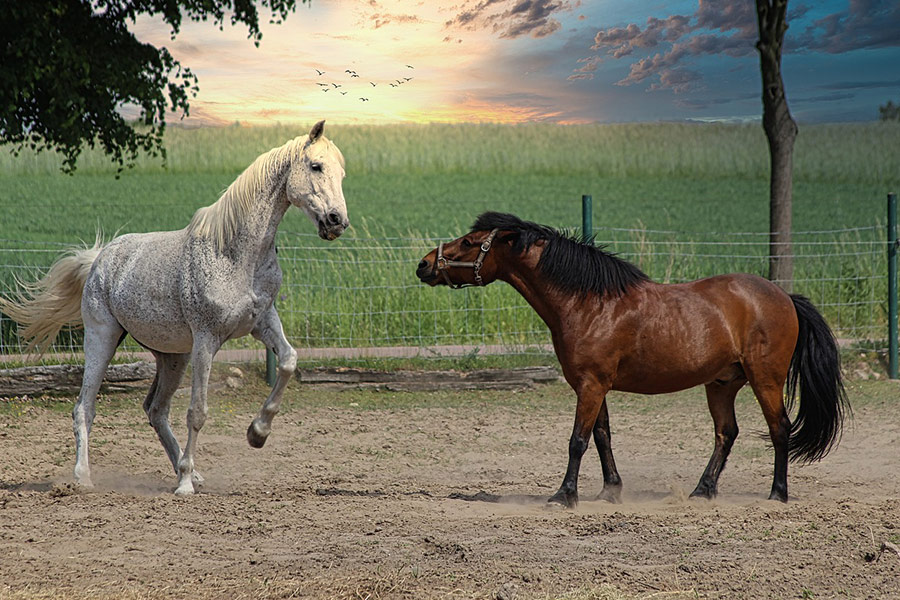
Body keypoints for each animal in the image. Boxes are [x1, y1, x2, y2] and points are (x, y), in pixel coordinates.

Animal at [0, 120, 349, 495]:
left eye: (342, 173)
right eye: (316, 166)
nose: (337, 220)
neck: (236, 254)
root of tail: (99, 259)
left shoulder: (262, 321)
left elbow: (288, 362)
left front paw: (257, 433)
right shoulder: (207, 340)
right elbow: (197, 411)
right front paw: (184, 486)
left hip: (172, 356)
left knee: (155, 410)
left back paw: (191, 471)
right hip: (102, 338)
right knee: (84, 408)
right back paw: (85, 477)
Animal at [416, 212, 848, 507]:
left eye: (469, 242)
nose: (424, 264)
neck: (589, 303)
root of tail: (784, 296)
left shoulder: (591, 385)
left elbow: (577, 440)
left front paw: (564, 495)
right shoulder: (593, 385)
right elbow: (602, 437)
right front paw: (610, 491)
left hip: (766, 379)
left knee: (780, 429)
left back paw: (777, 493)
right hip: (722, 383)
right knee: (727, 433)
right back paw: (702, 490)